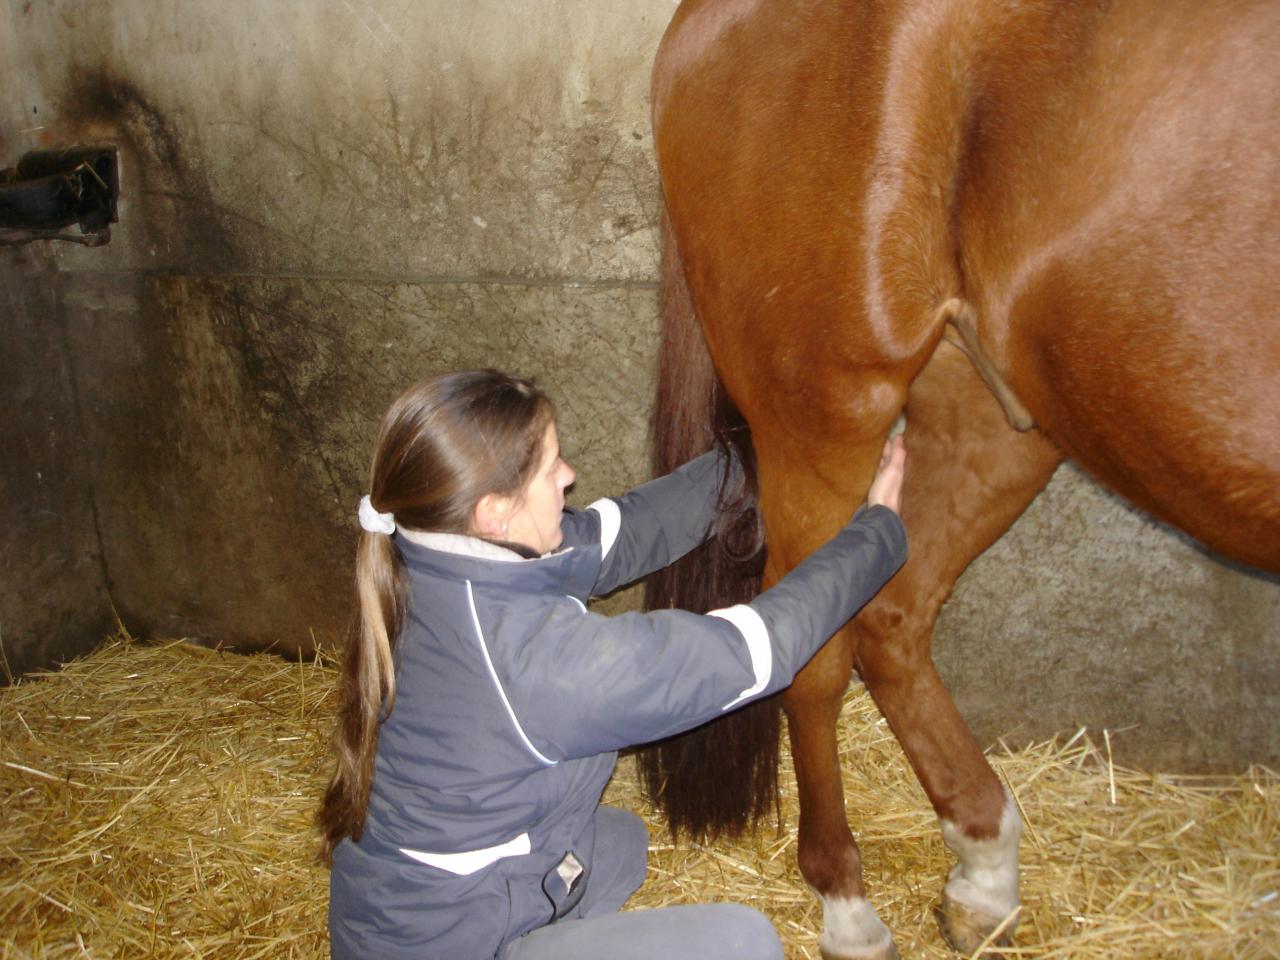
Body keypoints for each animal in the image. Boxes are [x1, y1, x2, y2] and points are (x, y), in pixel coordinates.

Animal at [640, 0, 1280, 957]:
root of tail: (698, 19)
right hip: (829, 413)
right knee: (815, 656)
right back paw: (848, 903)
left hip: (993, 415)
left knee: (895, 618)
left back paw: (982, 870)